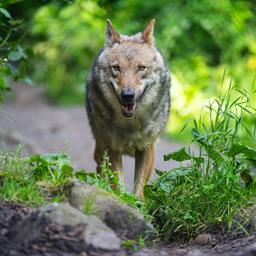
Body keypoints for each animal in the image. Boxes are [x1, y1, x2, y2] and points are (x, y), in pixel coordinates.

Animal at [85, 19, 171, 197]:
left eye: (141, 68)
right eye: (116, 68)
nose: (127, 95)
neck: (130, 125)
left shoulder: (146, 148)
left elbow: (139, 186)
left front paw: (137, 202)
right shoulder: (112, 149)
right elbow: (118, 185)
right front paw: (121, 199)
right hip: (100, 146)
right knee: (99, 167)